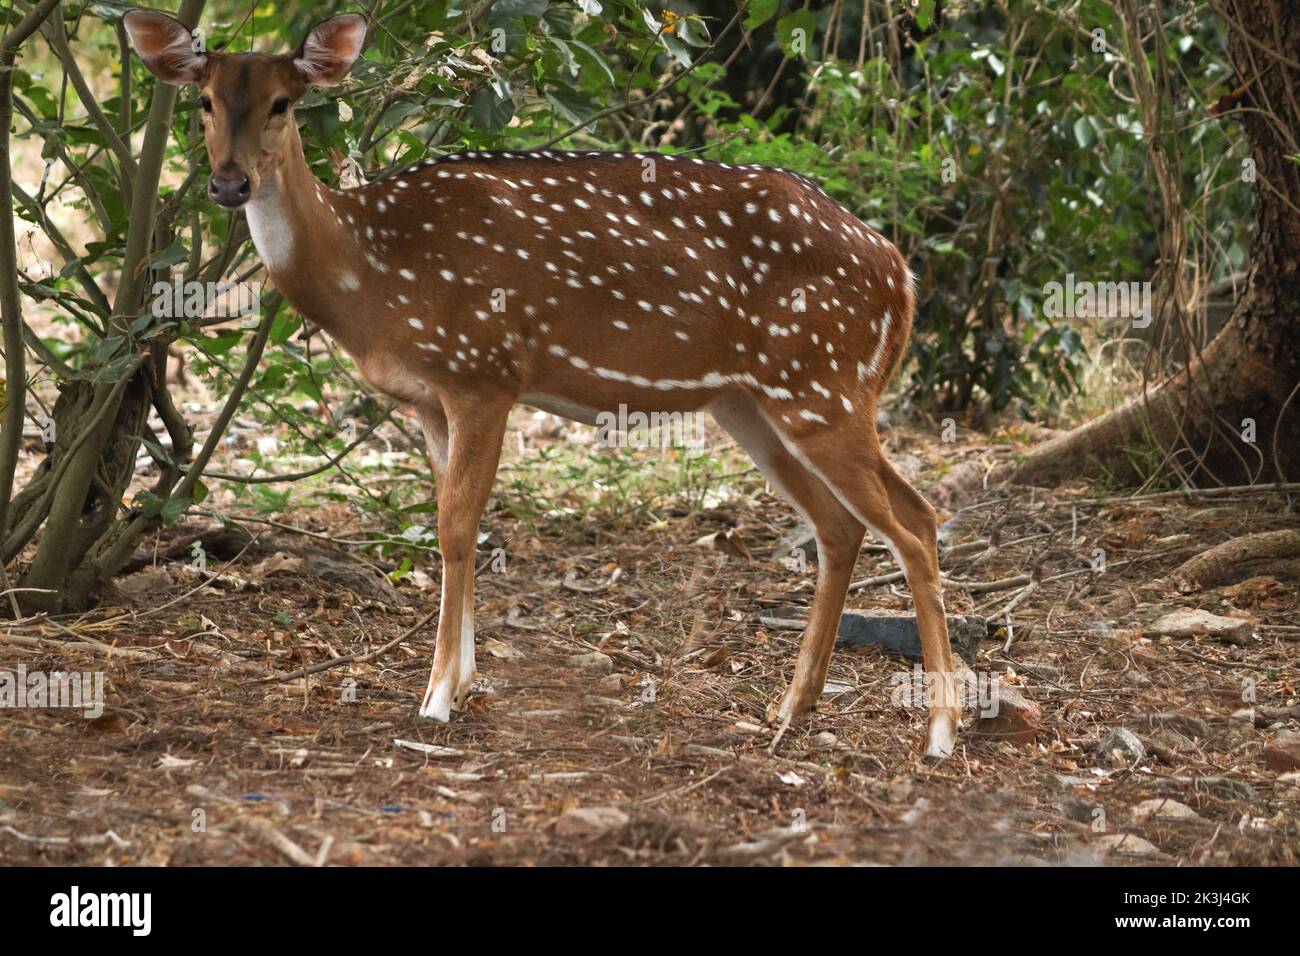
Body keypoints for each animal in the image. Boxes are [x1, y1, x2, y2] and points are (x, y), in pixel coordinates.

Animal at [126, 7, 967, 754]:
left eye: (283, 102)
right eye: (204, 101)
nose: (229, 184)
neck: (370, 274)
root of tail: (902, 275)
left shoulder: (484, 370)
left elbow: (455, 527)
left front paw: (436, 699)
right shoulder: (430, 399)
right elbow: (457, 526)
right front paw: (461, 681)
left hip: (825, 382)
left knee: (917, 520)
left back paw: (939, 733)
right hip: (754, 402)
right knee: (840, 526)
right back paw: (791, 707)